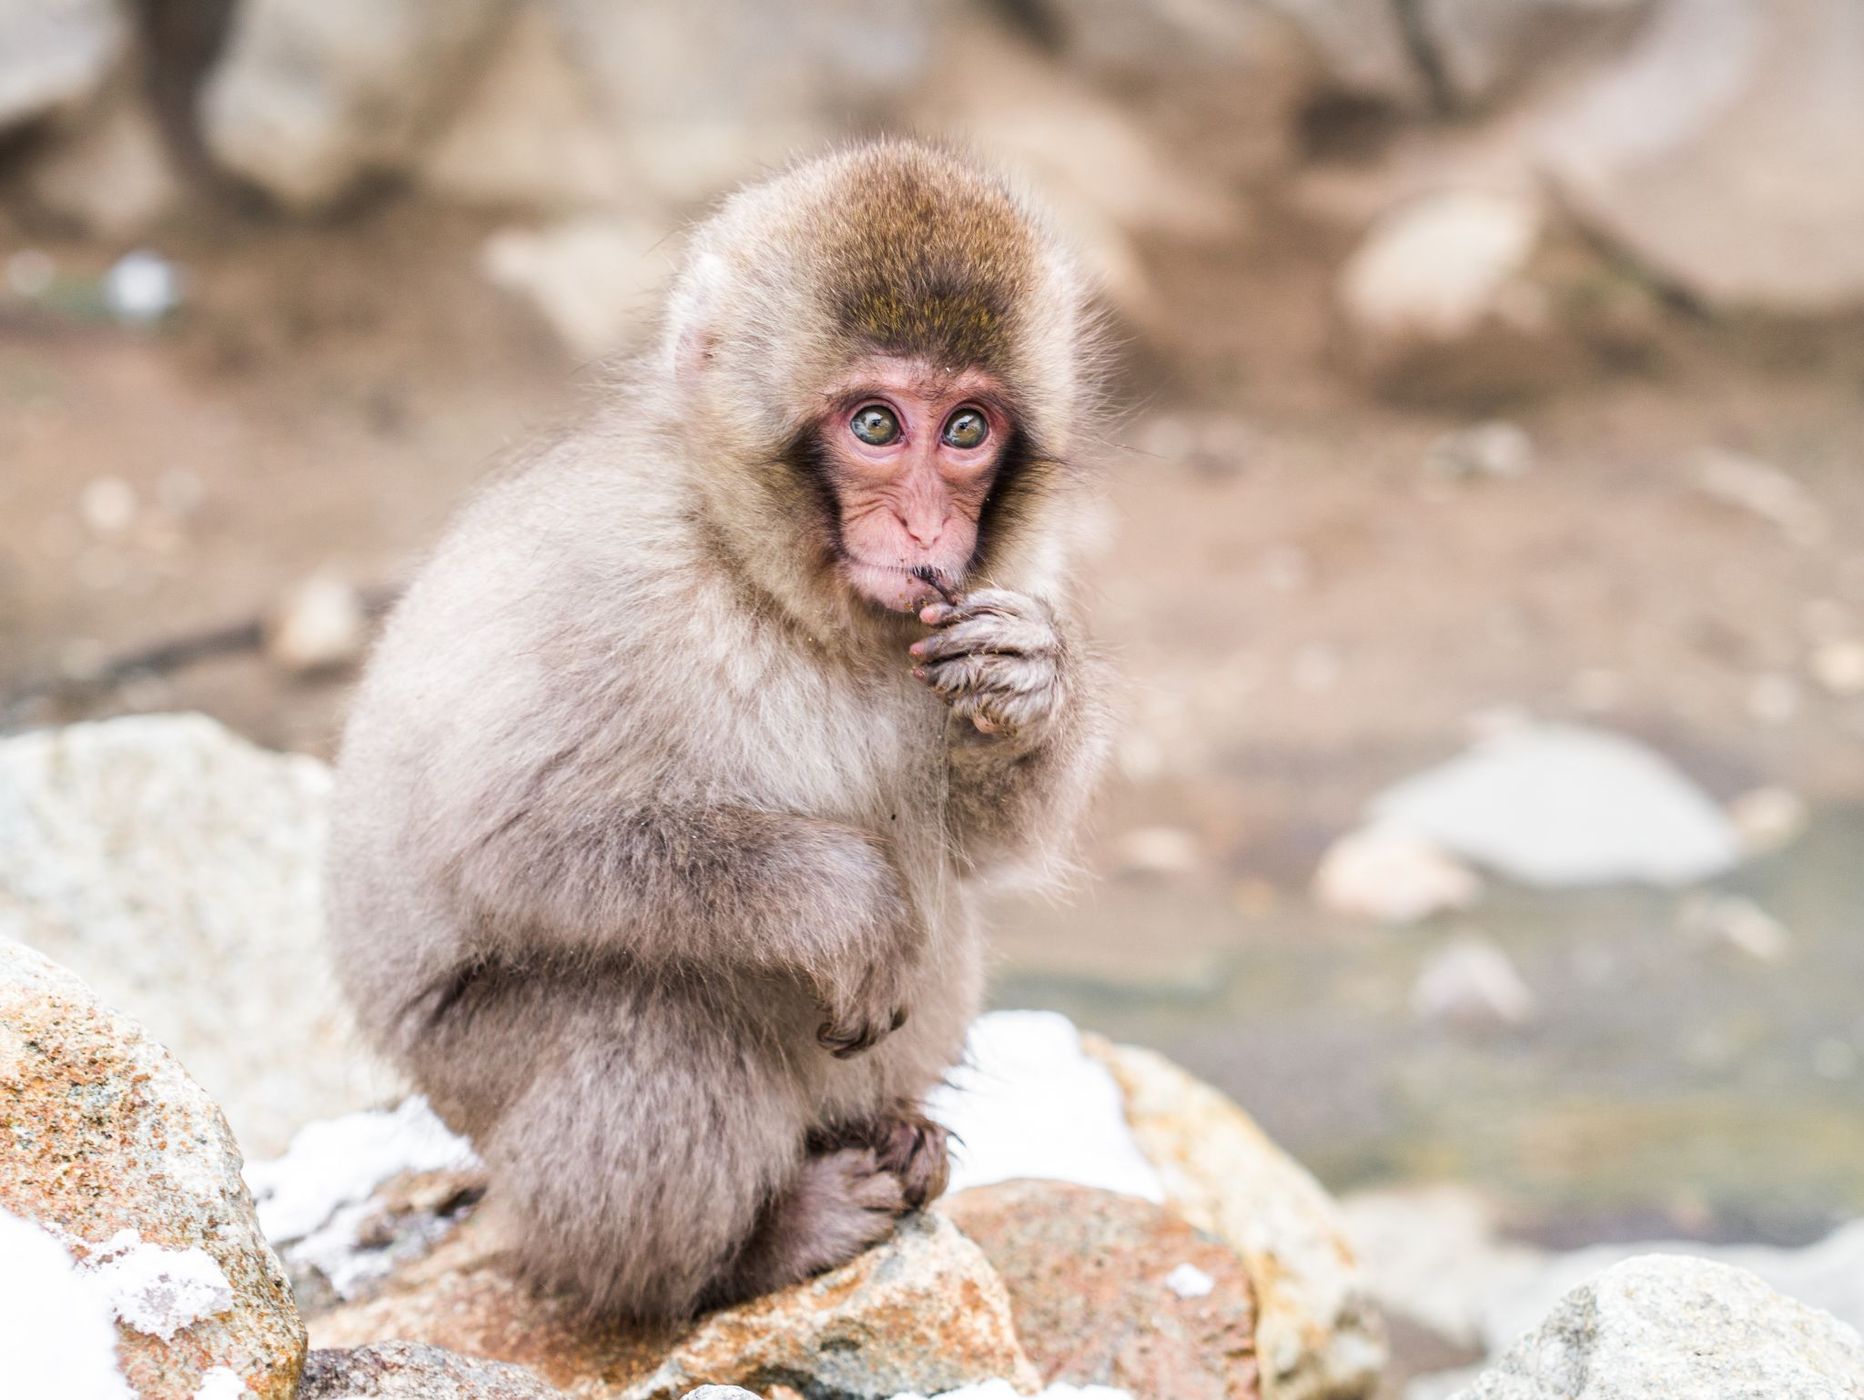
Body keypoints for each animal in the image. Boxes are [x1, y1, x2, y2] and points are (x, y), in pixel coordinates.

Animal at [324, 139, 1114, 1322]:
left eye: (967, 429)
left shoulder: (1008, 575)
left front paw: (1028, 685)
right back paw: (742, 1249)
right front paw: (847, 906)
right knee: (658, 1012)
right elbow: (516, 843)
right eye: (875, 424)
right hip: (467, 1071)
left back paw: (887, 1136)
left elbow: (979, 849)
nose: (928, 527)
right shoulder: (614, 578)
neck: (772, 582)